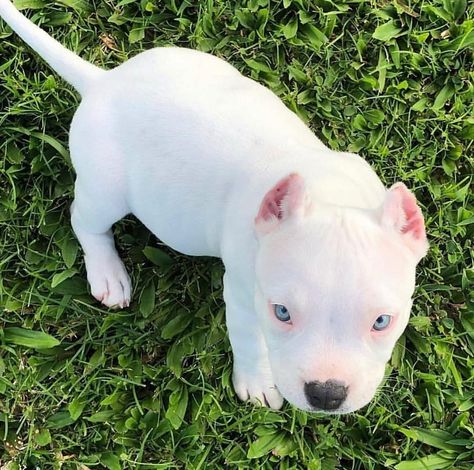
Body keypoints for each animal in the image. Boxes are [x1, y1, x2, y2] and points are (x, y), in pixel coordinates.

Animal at [0, 0, 430, 412]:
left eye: (382, 321)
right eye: (282, 313)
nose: (326, 394)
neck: (329, 193)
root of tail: (102, 82)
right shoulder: (242, 297)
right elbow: (250, 342)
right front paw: (257, 384)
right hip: (106, 189)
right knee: (85, 220)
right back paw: (107, 272)